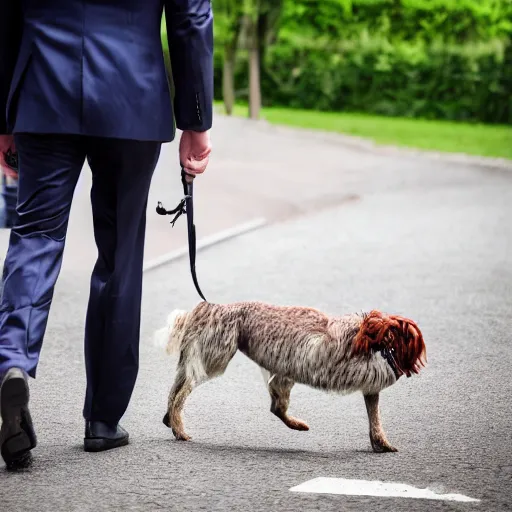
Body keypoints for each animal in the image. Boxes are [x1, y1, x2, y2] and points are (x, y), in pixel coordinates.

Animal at [154, 300, 426, 452]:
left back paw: (171, 421)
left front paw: (381, 443)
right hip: (214, 358)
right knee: (181, 393)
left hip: (212, 361)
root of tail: (211, 307)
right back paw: (178, 426)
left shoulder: (368, 384)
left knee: (176, 388)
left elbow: (375, 419)